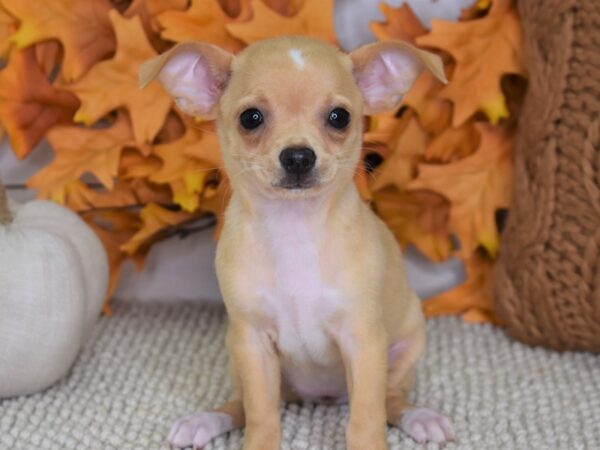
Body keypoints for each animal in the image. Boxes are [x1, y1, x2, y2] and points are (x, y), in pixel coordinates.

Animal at [139, 36, 450, 450]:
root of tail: (320, 397)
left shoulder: (363, 341)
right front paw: (258, 445)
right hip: (238, 354)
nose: (299, 156)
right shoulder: (253, 344)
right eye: (250, 118)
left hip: (404, 348)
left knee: (391, 400)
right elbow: (261, 417)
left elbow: (367, 419)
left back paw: (422, 418)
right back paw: (204, 421)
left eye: (339, 117)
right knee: (240, 406)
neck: (294, 229)